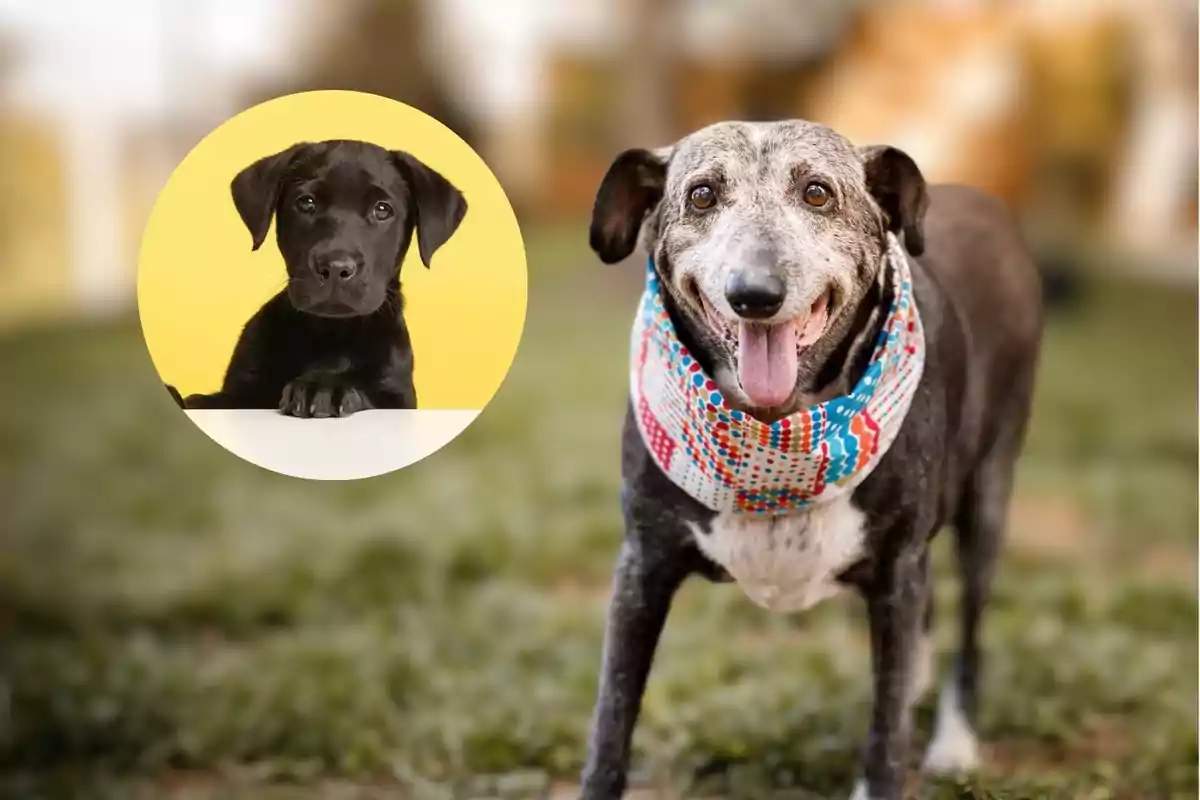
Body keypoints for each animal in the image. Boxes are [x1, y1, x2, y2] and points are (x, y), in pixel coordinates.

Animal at [166, 140, 465, 417]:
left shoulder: (397, 395)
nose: (335, 268)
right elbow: (204, 401)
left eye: (382, 210)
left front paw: (324, 387)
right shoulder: (239, 392)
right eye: (306, 203)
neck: (328, 334)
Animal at [578, 120, 1041, 800]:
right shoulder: (642, 569)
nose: (754, 294)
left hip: (989, 494)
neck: (775, 432)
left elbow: (885, 739)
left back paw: (955, 743)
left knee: (969, 631)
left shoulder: (898, 571)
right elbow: (612, 722)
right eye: (702, 194)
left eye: (817, 192)